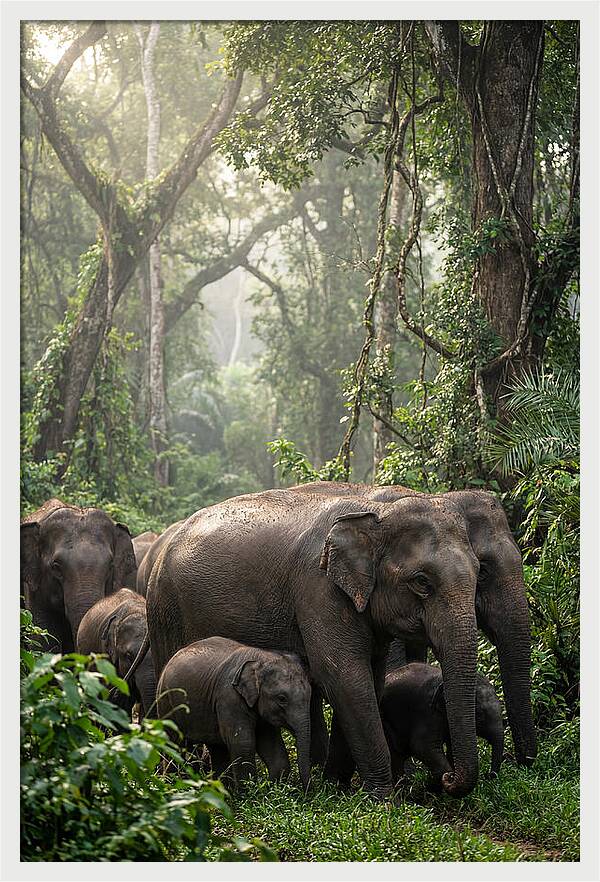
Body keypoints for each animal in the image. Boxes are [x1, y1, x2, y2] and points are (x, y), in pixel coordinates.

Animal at [155, 636, 312, 789]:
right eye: (282, 698)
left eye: (310, 694)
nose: (306, 791)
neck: (261, 657)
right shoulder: (229, 698)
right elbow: (243, 743)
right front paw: (249, 793)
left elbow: (272, 745)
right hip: (166, 703)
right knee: (175, 745)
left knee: (217, 749)